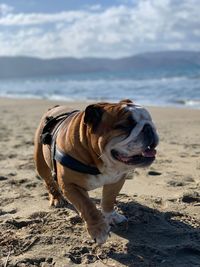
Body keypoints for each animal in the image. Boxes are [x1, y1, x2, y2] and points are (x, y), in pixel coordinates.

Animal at [34, 99, 159, 245]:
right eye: (124, 126)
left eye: (150, 119)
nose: (149, 127)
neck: (98, 159)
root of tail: (55, 108)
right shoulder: (70, 185)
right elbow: (87, 206)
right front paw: (98, 230)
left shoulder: (116, 180)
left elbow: (109, 199)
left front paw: (110, 215)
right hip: (40, 162)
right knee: (48, 181)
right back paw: (57, 198)